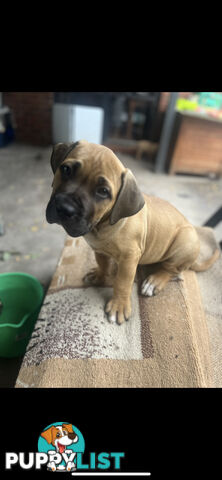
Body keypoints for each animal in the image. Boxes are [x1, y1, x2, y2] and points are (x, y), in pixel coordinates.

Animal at [46, 141, 219, 324]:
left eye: (103, 191)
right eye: (66, 169)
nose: (65, 208)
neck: (103, 224)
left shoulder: (129, 258)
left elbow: (123, 282)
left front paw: (118, 306)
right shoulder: (99, 250)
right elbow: (103, 264)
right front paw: (100, 275)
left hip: (185, 241)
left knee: (171, 270)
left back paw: (155, 281)